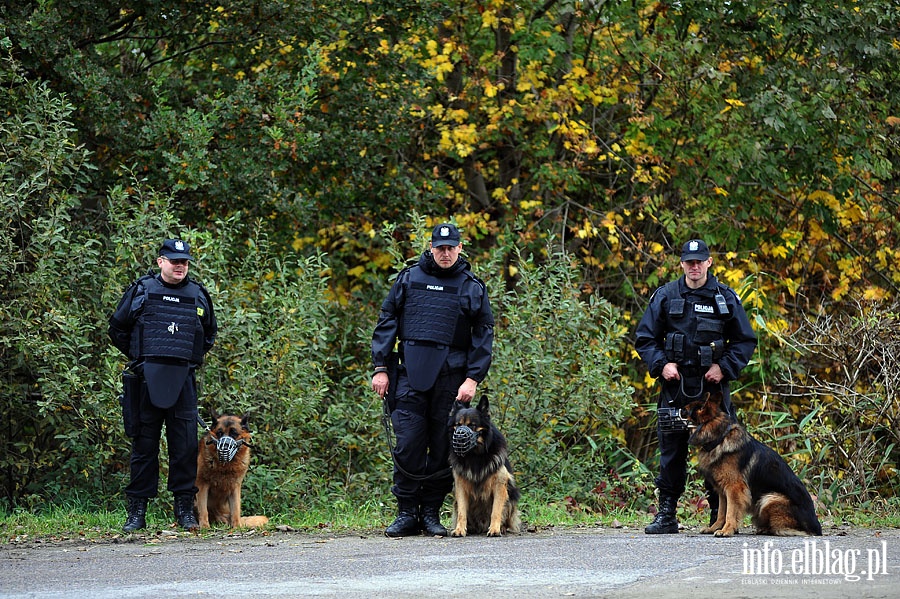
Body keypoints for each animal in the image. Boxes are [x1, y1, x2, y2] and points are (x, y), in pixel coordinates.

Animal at [444, 394, 520, 540]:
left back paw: (501, 528)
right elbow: (462, 512)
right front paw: (459, 530)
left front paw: (495, 530)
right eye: (457, 425)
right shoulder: (460, 486)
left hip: (511, 496)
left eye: (472, 425)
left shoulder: (500, 485)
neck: (475, 456)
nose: (459, 437)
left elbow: (496, 511)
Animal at [684, 392, 824, 536]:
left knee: (783, 528)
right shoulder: (722, 491)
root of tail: (817, 528)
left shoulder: (734, 488)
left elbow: (730, 512)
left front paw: (727, 530)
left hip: (769, 498)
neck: (719, 438)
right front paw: (715, 528)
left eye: (684, 410)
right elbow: (722, 512)